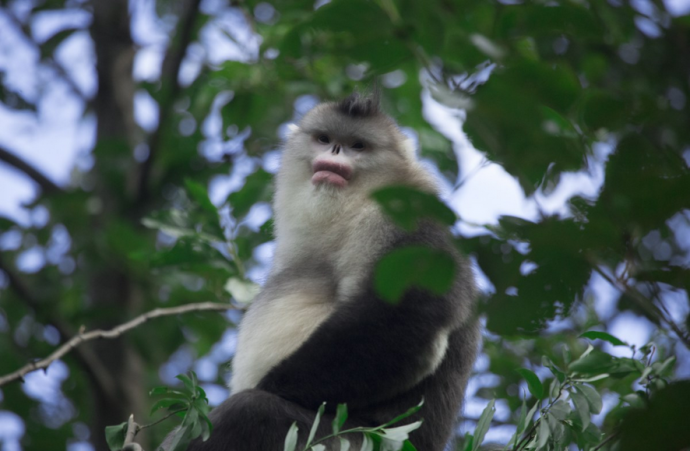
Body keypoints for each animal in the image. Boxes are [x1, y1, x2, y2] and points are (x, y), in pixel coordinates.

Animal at [180, 92, 476, 451]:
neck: (354, 205)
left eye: (357, 145)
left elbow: (411, 316)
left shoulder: (404, 220)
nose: (335, 151)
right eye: (324, 139)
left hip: (349, 440)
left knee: (248, 411)